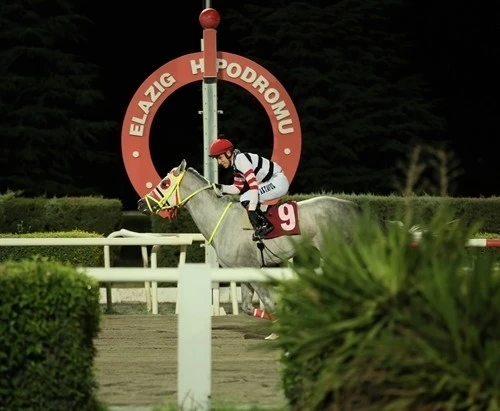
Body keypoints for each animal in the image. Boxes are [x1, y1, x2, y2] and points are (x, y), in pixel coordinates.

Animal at [137, 159, 364, 318]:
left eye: (165, 183)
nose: (140, 203)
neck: (220, 219)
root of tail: (352, 207)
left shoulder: (253, 268)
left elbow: (270, 304)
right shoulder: (242, 271)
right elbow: (247, 307)